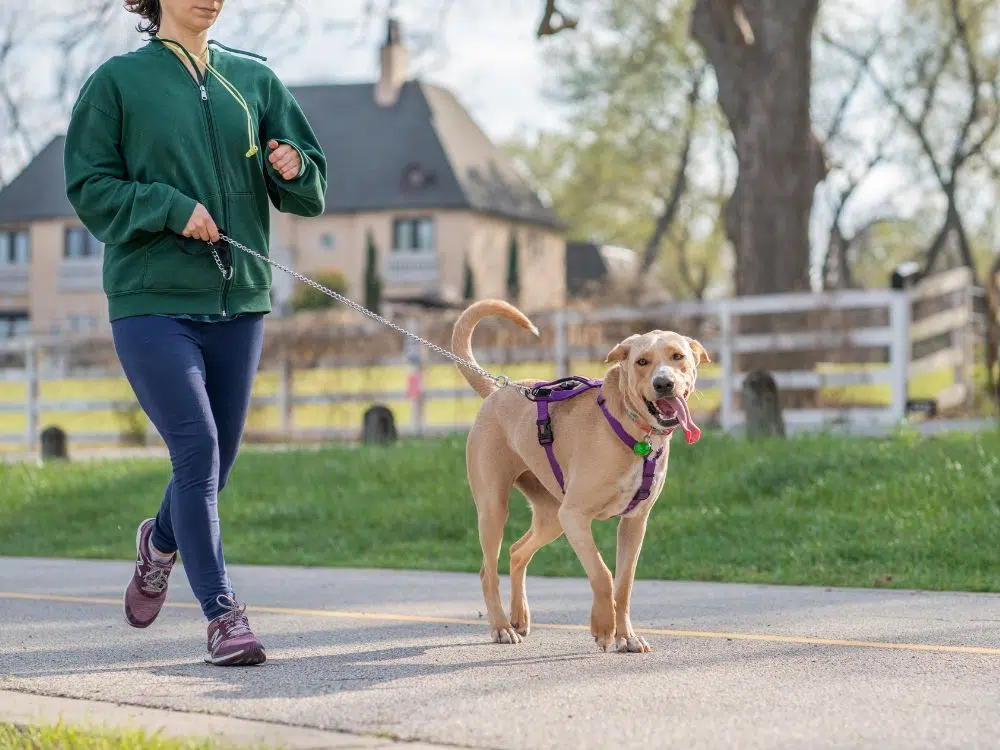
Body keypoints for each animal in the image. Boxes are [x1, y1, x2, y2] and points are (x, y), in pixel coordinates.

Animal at [450, 300, 708, 652]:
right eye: (642, 361)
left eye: (678, 356)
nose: (663, 383)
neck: (634, 431)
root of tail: (496, 390)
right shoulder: (575, 516)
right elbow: (602, 574)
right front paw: (603, 629)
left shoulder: (634, 523)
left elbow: (624, 583)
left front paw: (626, 636)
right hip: (496, 508)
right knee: (487, 571)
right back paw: (502, 627)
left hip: (551, 517)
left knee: (517, 552)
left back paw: (519, 616)